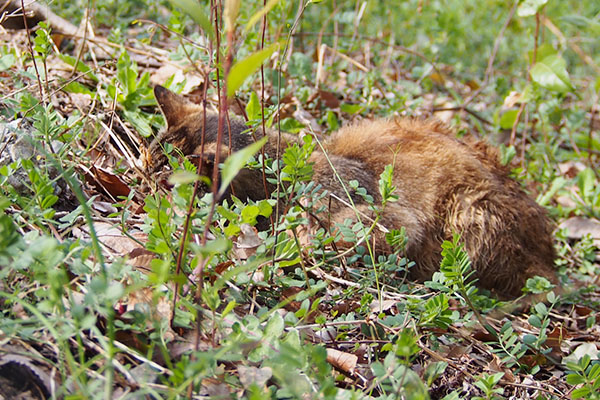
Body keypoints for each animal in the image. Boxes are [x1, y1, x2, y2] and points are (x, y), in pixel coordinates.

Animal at [145, 85, 556, 296]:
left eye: (162, 180)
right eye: (143, 162)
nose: (143, 186)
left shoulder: (391, 221)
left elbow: (306, 237)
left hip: (468, 213)